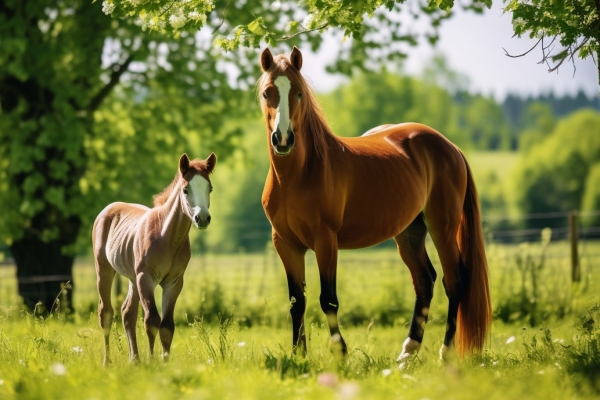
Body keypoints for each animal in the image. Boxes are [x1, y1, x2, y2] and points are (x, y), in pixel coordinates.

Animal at [92, 153, 217, 366]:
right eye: (185, 189)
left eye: (210, 188)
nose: (202, 218)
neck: (167, 237)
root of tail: (107, 209)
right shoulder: (146, 277)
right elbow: (151, 320)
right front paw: (152, 362)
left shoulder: (174, 282)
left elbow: (166, 325)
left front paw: (164, 363)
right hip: (105, 270)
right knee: (106, 313)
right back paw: (107, 362)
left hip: (133, 278)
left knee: (128, 313)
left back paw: (134, 359)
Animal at [258, 47, 492, 362]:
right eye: (267, 92)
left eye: (298, 93)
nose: (283, 139)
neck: (300, 173)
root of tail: (450, 147)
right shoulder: (286, 244)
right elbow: (297, 301)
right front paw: (299, 355)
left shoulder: (325, 241)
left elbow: (328, 300)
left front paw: (340, 352)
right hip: (408, 232)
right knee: (425, 281)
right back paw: (408, 352)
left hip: (442, 227)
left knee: (454, 281)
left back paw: (445, 353)